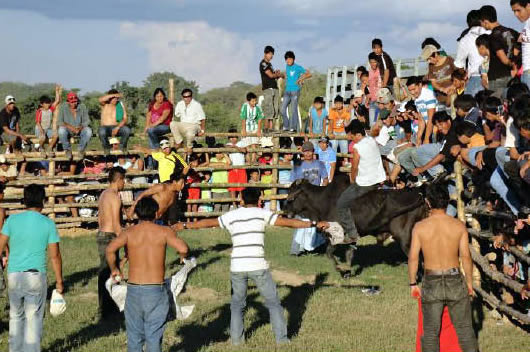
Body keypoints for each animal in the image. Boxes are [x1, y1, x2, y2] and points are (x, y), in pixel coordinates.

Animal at [280, 175, 424, 276]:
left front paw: (341, 269)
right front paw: (347, 271)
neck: (323, 201)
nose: (284, 211)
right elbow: (349, 253)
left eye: (292, 193)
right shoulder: (351, 237)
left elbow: (329, 253)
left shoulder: (336, 235)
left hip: (404, 238)